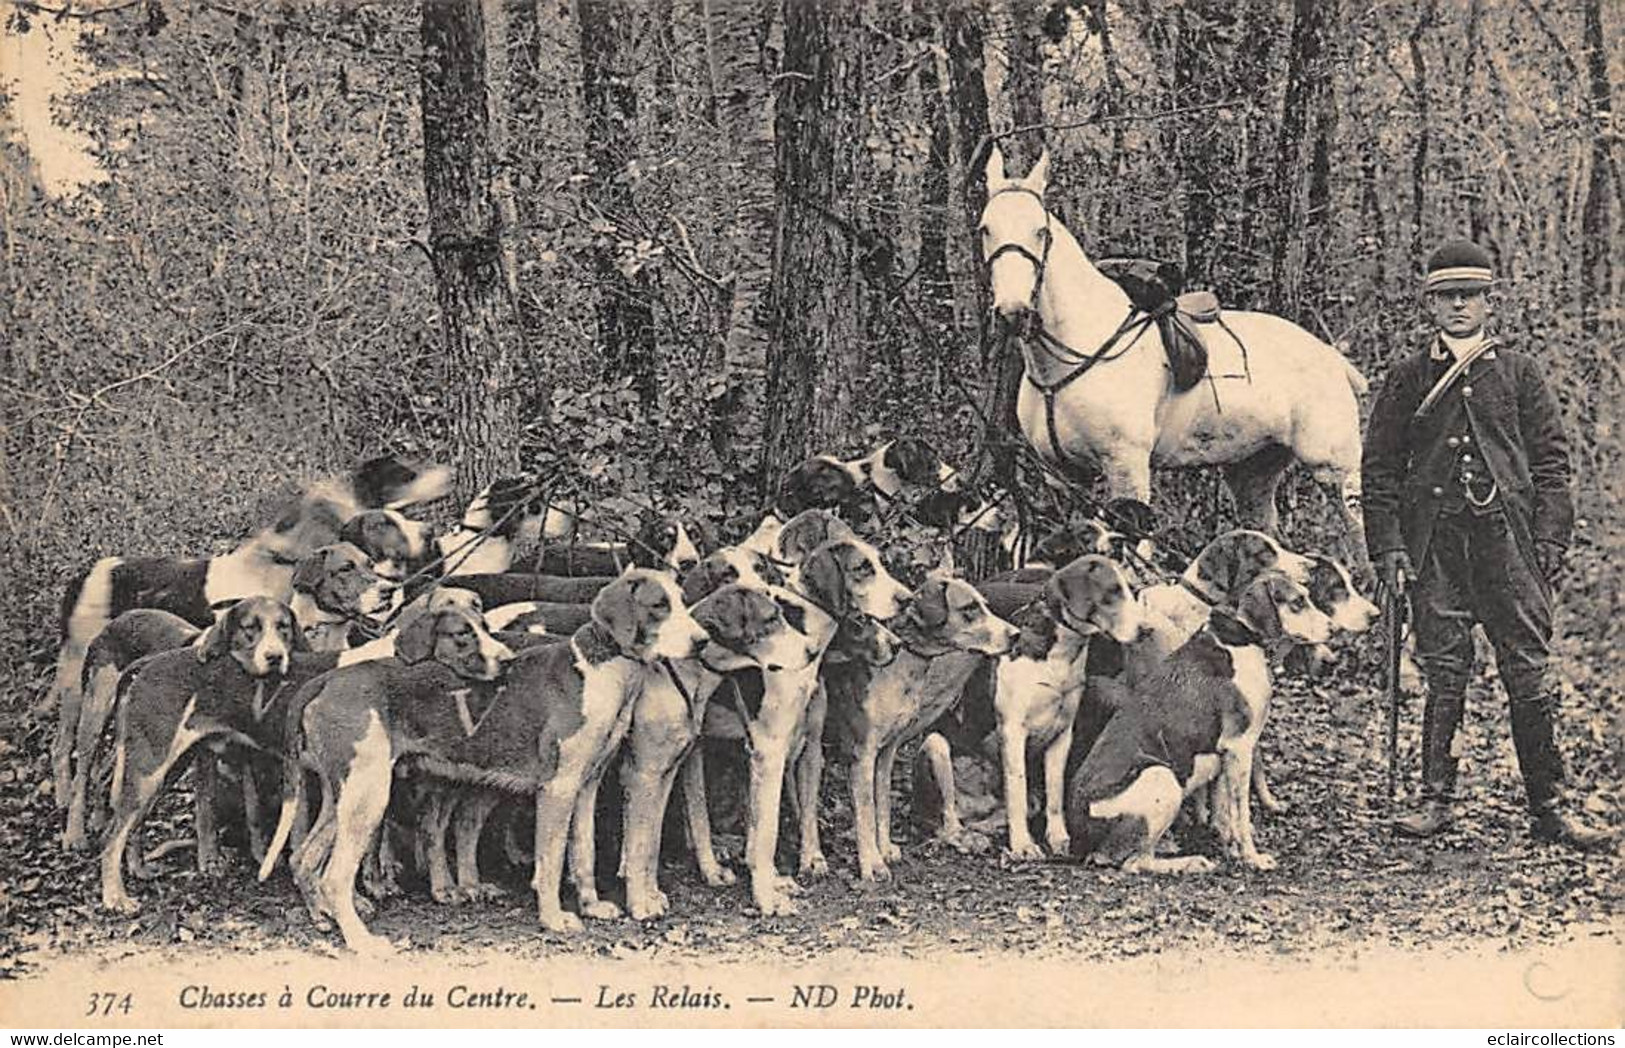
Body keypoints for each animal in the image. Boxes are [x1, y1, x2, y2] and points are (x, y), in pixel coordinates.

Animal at [975, 149, 1371, 565]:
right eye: (986, 229)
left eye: (1041, 231)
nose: (1013, 312)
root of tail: (1332, 359)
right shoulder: (1063, 475)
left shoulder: (1126, 468)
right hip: (1252, 472)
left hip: (1336, 472)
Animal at [1066, 568, 1332, 870]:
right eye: (1298, 602)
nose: (1332, 628)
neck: (1239, 639)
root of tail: (1077, 839)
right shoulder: (1239, 748)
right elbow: (1241, 815)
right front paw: (1252, 857)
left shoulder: (1225, 757)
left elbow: (1224, 814)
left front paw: (1232, 851)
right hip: (1160, 776)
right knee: (1135, 861)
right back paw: (1189, 862)